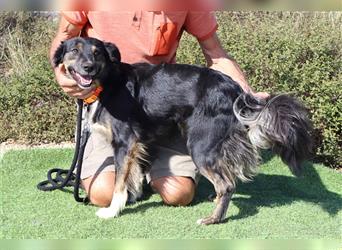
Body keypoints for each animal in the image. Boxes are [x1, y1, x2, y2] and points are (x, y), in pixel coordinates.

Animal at [53, 36, 312, 225]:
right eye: (74, 51)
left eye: (97, 53)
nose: (88, 67)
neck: (107, 83)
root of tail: (236, 90)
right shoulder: (134, 145)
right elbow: (132, 175)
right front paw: (132, 197)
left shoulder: (125, 142)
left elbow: (118, 182)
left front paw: (113, 210)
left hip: (200, 146)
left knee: (227, 184)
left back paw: (213, 219)